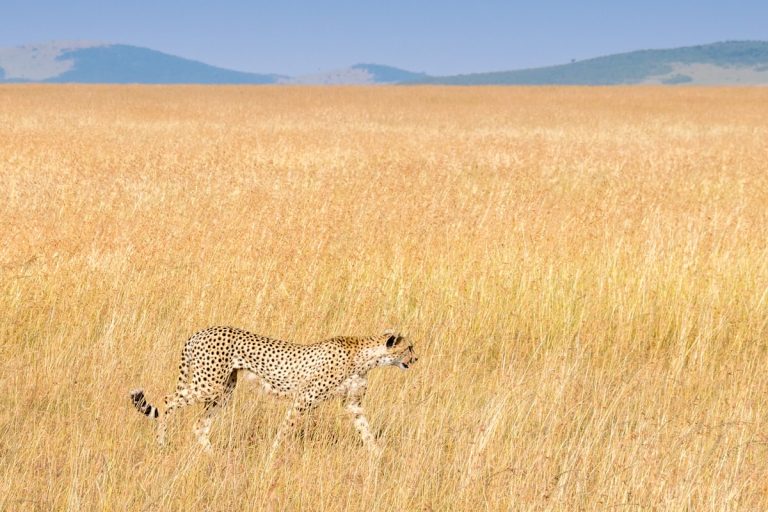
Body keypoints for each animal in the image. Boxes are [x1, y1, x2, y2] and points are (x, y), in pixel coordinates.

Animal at [129, 327, 417, 457]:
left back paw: (214, 457)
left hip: (224, 390)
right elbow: (285, 430)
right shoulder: (304, 399)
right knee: (167, 400)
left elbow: (366, 431)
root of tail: (198, 333)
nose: (416, 359)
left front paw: (377, 457)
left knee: (200, 425)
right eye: (409, 348)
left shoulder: (352, 405)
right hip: (208, 385)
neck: (364, 356)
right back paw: (162, 443)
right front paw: (272, 455)